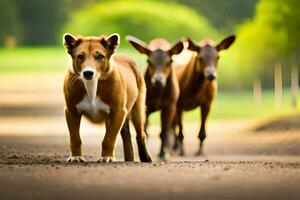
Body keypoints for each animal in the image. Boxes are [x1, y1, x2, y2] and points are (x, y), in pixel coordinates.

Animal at [63, 32, 152, 162]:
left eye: (100, 56)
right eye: (80, 56)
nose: (88, 73)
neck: (92, 85)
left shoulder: (118, 112)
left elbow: (109, 138)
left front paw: (107, 157)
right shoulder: (71, 111)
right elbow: (75, 138)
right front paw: (76, 156)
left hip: (138, 109)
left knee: (141, 134)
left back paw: (145, 157)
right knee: (126, 134)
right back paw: (129, 158)